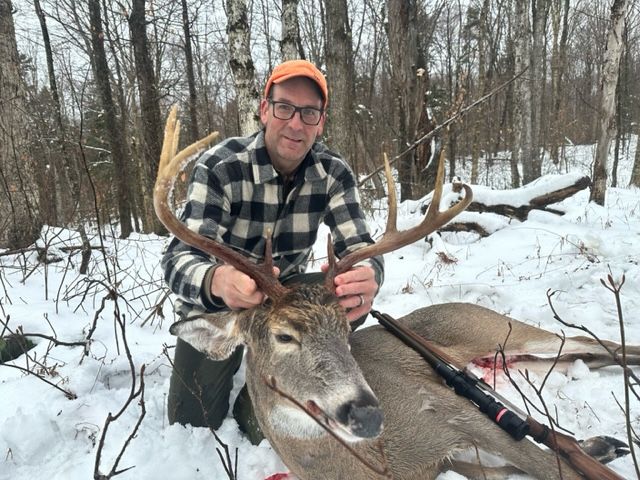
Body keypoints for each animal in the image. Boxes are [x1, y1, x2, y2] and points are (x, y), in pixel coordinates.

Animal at [155, 106, 638, 480]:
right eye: (283, 335)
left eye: (345, 332)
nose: (368, 414)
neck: (377, 463)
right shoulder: (459, 463)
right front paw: (595, 447)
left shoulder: (454, 409)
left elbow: (553, 466)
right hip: (511, 356)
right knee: (582, 355)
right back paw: (605, 438)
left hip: (494, 326)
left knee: (592, 341)